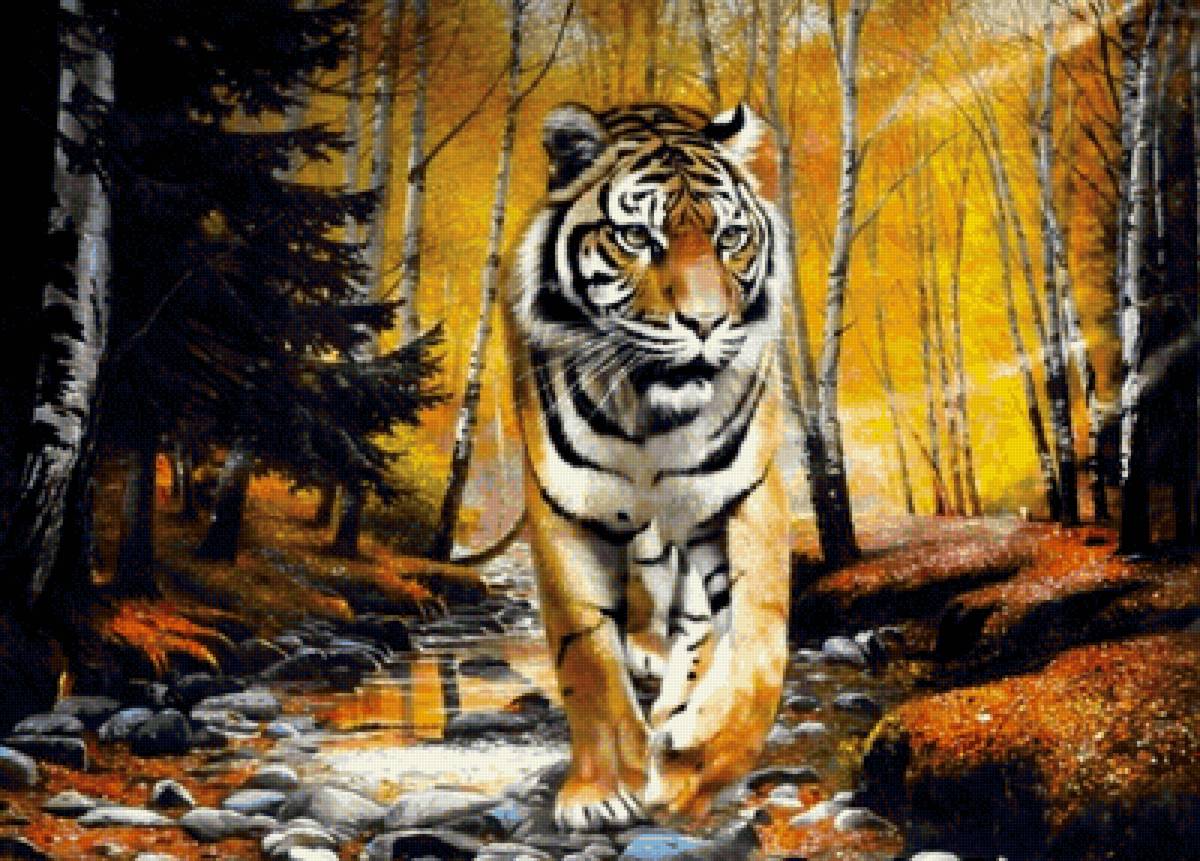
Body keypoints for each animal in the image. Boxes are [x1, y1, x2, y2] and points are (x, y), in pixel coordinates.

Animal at [502, 101, 792, 830]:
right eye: (636, 237)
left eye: (730, 237)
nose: (706, 323)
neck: (649, 415)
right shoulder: (565, 507)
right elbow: (587, 656)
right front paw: (603, 791)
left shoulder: (742, 496)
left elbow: (757, 647)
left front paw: (695, 758)